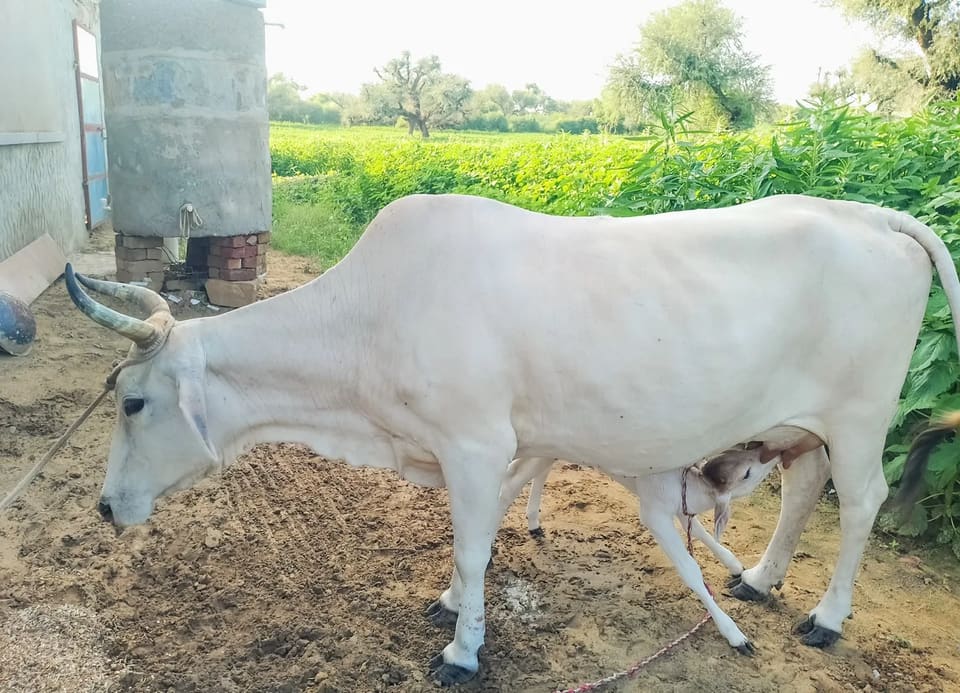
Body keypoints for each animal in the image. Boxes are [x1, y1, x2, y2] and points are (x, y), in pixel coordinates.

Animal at [65, 193, 960, 686]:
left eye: (134, 401)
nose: (106, 507)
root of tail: (870, 216)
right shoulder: (500, 444)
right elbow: (484, 537)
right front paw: (452, 601)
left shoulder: (471, 442)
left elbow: (471, 541)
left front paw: (463, 650)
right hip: (804, 426)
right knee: (806, 489)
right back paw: (761, 580)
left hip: (859, 416)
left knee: (861, 503)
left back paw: (826, 616)